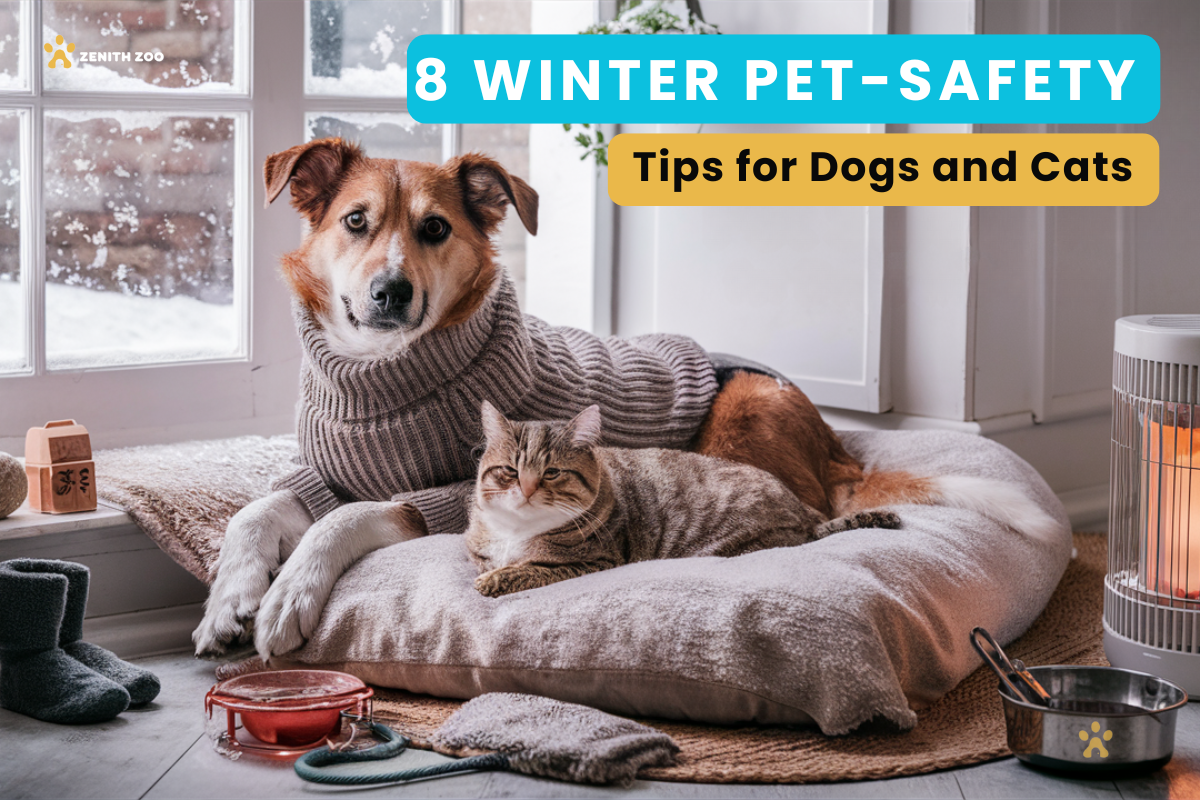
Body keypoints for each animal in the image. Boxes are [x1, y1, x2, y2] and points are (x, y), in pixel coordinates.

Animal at [463, 402, 897, 597]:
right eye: (510, 471)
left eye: (552, 472)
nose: (527, 489)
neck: (516, 533)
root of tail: (805, 513)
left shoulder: (595, 560)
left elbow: (528, 569)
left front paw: (495, 579)